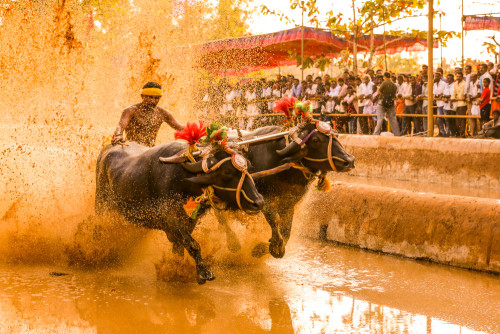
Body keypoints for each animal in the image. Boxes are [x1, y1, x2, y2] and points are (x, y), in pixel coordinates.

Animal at [94, 142, 266, 284]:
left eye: (249, 169)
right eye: (227, 172)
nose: (258, 202)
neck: (183, 180)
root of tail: (106, 150)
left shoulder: (190, 220)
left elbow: (180, 245)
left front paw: (176, 267)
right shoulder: (168, 217)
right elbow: (192, 243)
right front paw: (204, 272)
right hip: (101, 203)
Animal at [223, 122, 356, 258]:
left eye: (336, 135)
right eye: (315, 140)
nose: (349, 161)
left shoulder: (289, 203)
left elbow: (286, 231)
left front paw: (265, 249)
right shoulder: (260, 198)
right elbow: (274, 217)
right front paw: (272, 246)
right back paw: (233, 243)